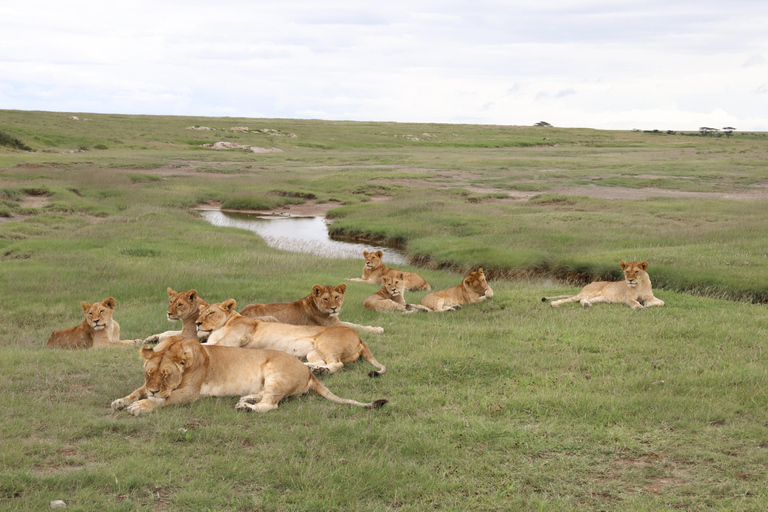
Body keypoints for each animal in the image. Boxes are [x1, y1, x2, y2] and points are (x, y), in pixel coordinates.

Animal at [111, 336, 388, 416]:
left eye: (166, 375)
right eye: (149, 373)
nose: (154, 388)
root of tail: (308, 372)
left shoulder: (190, 393)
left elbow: (164, 400)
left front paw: (142, 406)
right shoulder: (146, 384)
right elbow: (136, 391)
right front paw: (121, 400)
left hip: (275, 373)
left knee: (270, 405)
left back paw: (247, 408)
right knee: (263, 397)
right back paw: (245, 401)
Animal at [200, 300, 390, 376]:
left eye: (210, 313)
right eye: (201, 313)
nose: (197, 322)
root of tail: (360, 339)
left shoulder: (235, 339)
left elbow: (208, 345)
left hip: (325, 342)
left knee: (337, 364)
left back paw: (318, 371)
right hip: (313, 352)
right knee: (322, 362)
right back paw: (312, 368)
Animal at [240, 284, 384, 336]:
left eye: (336, 297)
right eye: (326, 299)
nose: (334, 308)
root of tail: (240, 313)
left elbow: (354, 323)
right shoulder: (333, 325)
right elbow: (355, 326)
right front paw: (377, 329)